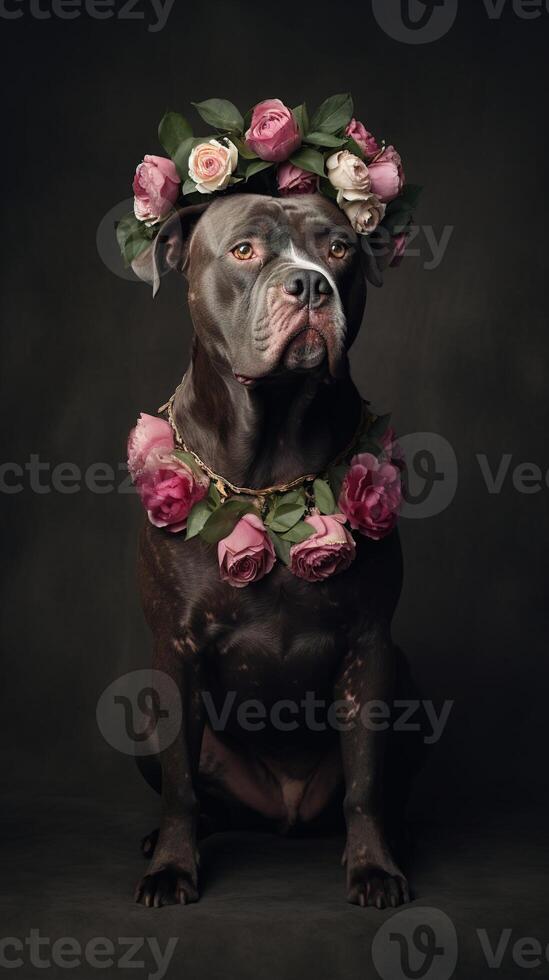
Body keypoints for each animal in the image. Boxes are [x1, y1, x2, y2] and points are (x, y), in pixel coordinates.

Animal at [131, 191, 418, 912]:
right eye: (244, 250)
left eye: (339, 249)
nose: (310, 284)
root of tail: (280, 814)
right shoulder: (174, 651)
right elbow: (180, 785)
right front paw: (172, 868)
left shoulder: (369, 647)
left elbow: (364, 783)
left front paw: (373, 868)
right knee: (198, 794)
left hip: (406, 682)